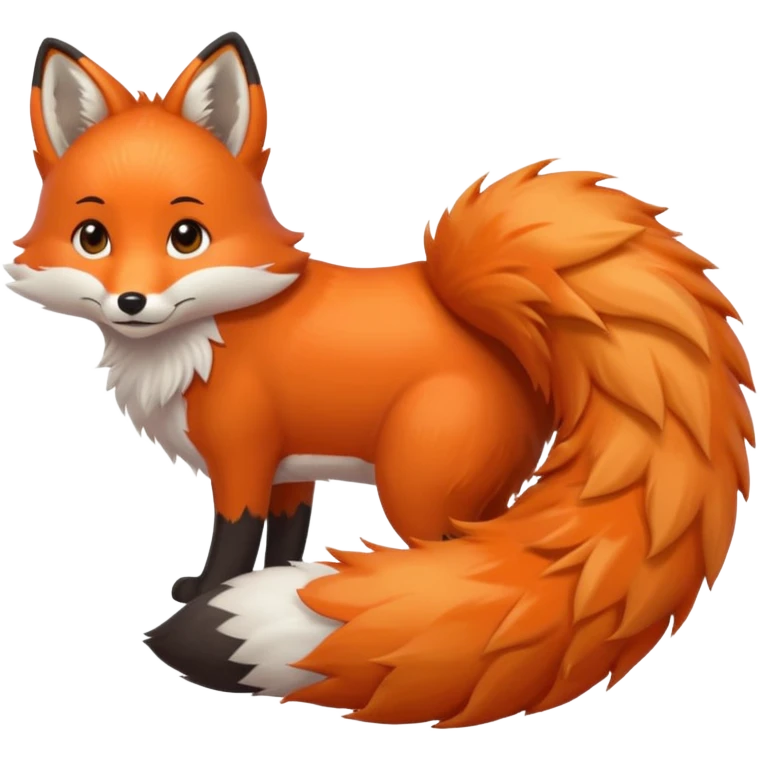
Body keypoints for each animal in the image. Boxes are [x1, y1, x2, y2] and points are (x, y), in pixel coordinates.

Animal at [7, 32, 755, 727]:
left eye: (186, 236)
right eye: (93, 237)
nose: (132, 302)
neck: (206, 340)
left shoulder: (242, 458)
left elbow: (233, 541)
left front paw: (216, 589)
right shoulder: (290, 466)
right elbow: (284, 535)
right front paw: (256, 581)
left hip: (413, 484)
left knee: (444, 571)